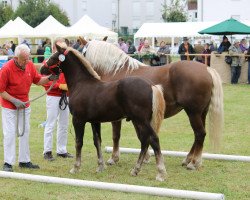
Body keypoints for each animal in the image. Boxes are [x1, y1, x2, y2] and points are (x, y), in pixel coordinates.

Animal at [42, 43, 168, 181]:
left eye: (53, 57)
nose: (42, 69)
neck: (81, 84)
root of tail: (151, 86)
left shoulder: (78, 120)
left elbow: (79, 142)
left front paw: (76, 167)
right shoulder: (94, 122)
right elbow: (97, 141)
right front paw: (100, 166)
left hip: (141, 121)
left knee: (153, 139)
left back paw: (160, 173)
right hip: (138, 121)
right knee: (145, 141)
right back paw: (135, 170)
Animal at [81, 38, 224, 170]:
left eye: (82, 52)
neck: (116, 71)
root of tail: (207, 69)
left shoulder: (118, 117)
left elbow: (117, 136)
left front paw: (114, 158)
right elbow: (141, 136)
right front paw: (145, 157)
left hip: (193, 112)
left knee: (200, 134)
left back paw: (193, 163)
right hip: (201, 113)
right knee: (198, 135)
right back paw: (188, 159)